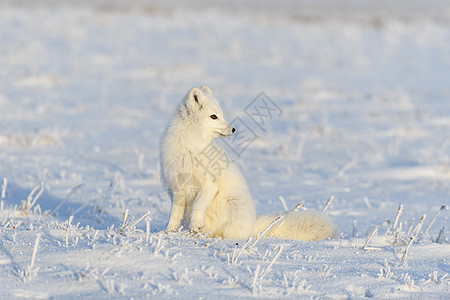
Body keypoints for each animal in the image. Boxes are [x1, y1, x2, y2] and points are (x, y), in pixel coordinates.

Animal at [159, 85, 338, 240]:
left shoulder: (210, 182)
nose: (233, 129)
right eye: (213, 116)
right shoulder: (178, 186)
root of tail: (252, 226)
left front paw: (195, 224)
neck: (190, 147)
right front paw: (168, 231)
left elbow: (198, 203)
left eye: (220, 114)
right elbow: (174, 213)